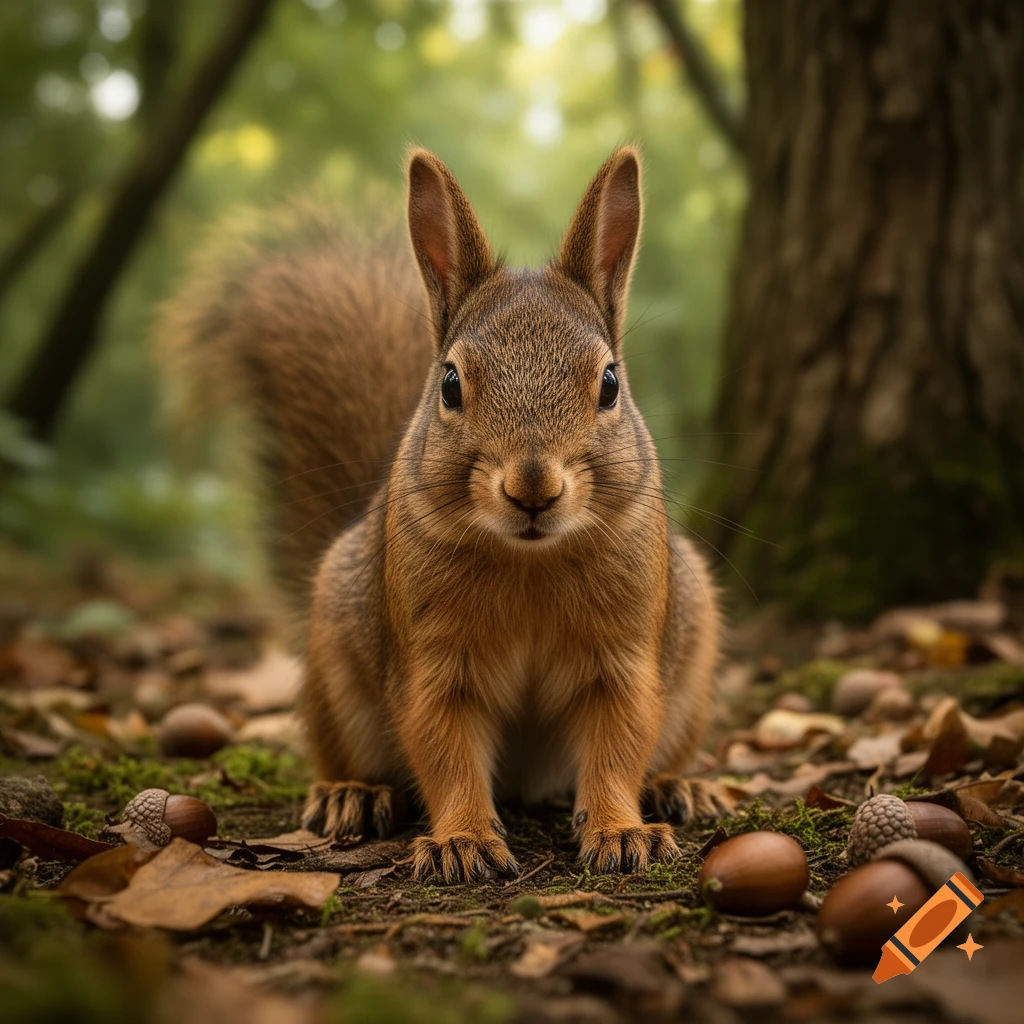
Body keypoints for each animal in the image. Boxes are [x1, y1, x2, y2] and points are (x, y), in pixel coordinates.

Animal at [160, 147, 728, 882]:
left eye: (610, 383)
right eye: (450, 384)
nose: (533, 489)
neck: (530, 564)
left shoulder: (624, 655)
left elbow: (618, 746)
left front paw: (621, 829)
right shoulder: (432, 662)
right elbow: (444, 749)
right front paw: (462, 839)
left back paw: (677, 785)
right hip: (334, 675)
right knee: (351, 756)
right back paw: (350, 794)